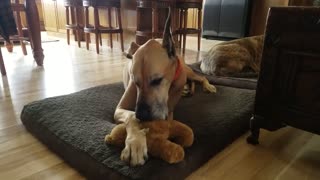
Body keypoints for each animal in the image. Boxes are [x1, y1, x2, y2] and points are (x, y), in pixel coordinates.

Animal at [114, 8, 216, 166]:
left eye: (157, 80)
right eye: (136, 82)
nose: (142, 115)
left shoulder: (169, 110)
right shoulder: (120, 108)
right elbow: (131, 115)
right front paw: (136, 143)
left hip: (187, 72)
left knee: (201, 77)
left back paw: (207, 86)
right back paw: (188, 89)